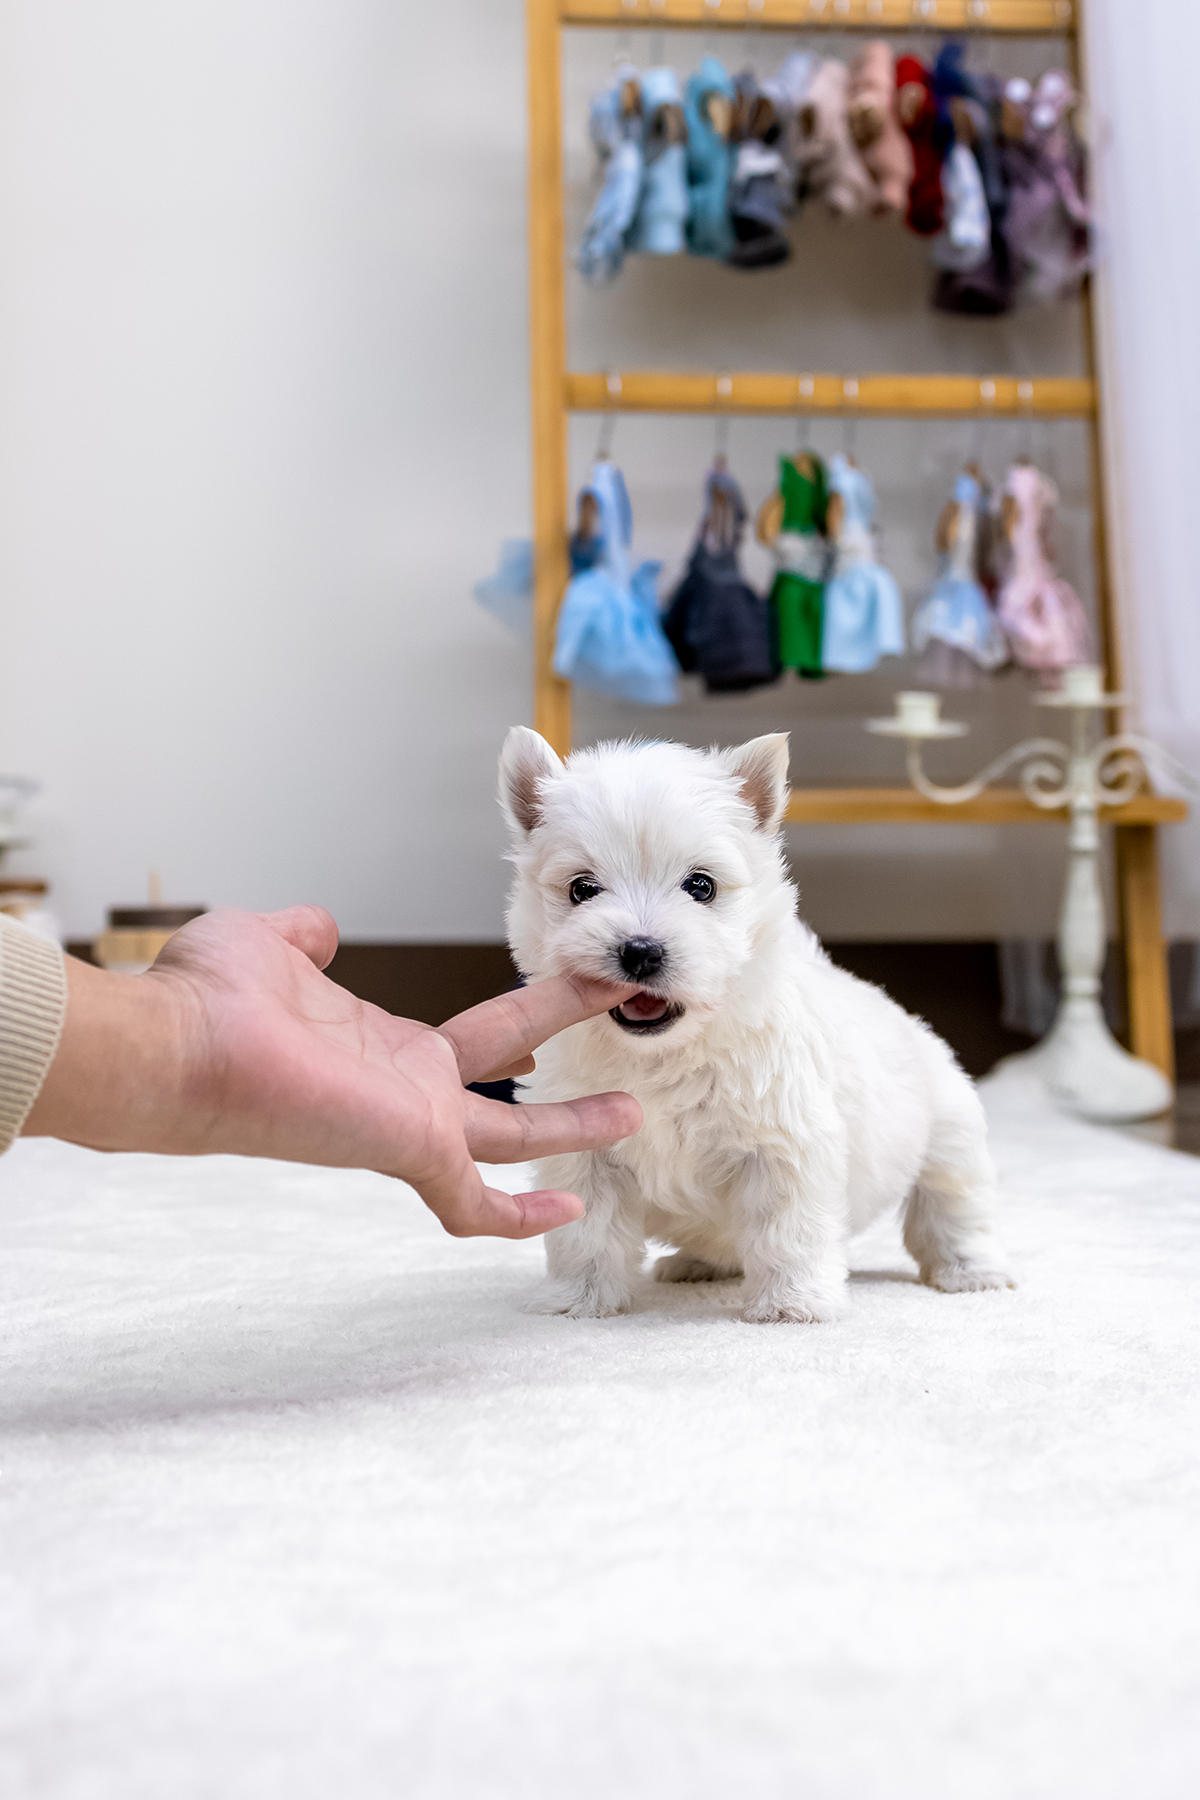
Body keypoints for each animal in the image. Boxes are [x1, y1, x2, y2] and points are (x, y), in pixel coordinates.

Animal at [496, 723, 1014, 1332]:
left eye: (700, 886)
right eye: (582, 888)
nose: (640, 950)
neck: (667, 1053)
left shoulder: (783, 1144)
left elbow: (786, 1231)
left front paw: (793, 1306)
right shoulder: (583, 1151)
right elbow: (585, 1232)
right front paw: (578, 1301)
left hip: (949, 1133)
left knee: (953, 1206)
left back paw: (973, 1272)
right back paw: (694, 1264)